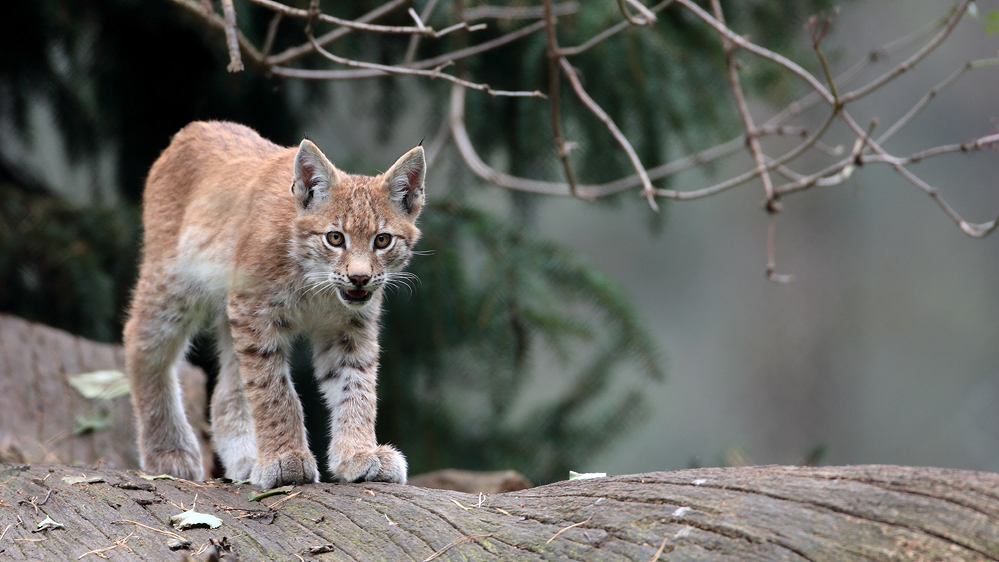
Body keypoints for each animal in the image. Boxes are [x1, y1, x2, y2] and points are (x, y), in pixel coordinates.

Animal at [123, 121, 424, 486]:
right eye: (335, 238)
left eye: (382, 240)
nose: (359, 278)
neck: (318, 284)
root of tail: (196, 127)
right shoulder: (255, 312)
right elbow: (273, 389)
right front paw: (285, 459)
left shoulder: (350, 325)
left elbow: (357, 386)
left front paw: (359, 454)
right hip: (175, 283)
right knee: (142, 343)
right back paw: (168, 451)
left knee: (226, 391)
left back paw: (246, 459)